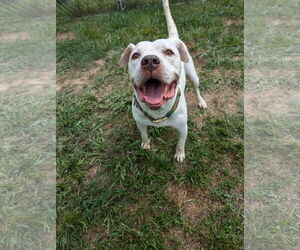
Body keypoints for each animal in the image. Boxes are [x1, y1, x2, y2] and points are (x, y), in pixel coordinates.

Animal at [119, 0, 206, 162]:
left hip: (193, 75)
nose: (149, 61)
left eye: (169, 52)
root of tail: (172, 39)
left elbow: (180, 143)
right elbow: (144, 135)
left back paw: (201, 102)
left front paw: (179, 154)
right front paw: (146, 144)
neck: (159, 111)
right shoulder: (140, 123)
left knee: (196, 88)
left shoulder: (183, 128)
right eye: (135, 55)